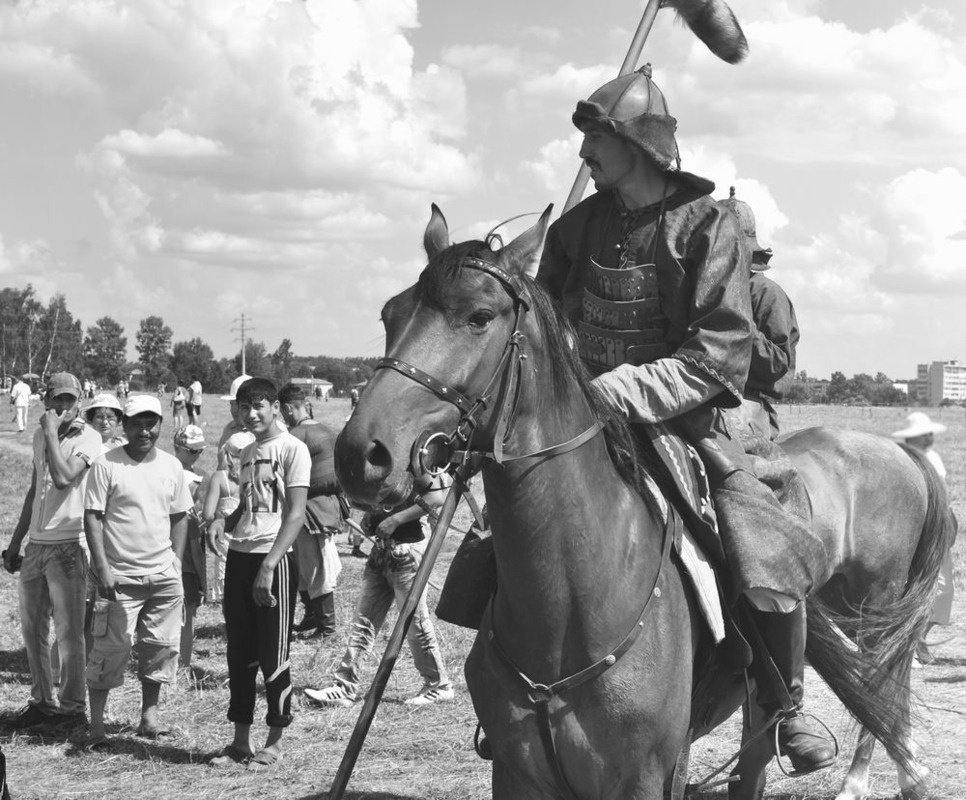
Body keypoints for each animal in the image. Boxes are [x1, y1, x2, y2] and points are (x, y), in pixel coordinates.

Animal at [332, 208, 952, 800]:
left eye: (479, 317)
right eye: (390, 316)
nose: (361, 455)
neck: (570, 603)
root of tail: (899, 451)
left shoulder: (643, 778)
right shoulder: (518, 775)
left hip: (873, 606)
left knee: (882, 682)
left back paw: (879, 776)